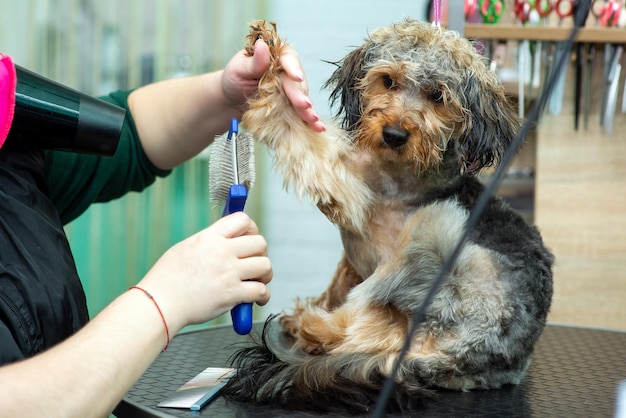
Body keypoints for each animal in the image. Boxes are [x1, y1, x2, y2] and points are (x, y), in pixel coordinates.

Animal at [219, 20, 552, 414]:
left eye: (437, 96)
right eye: (387, 81)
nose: (394, 134)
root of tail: (462, 360)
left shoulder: (346, 187)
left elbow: (294, 125)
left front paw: (271, 65)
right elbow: (339, 279)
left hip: (432, 231)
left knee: (356, 330)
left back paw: (313, 326)